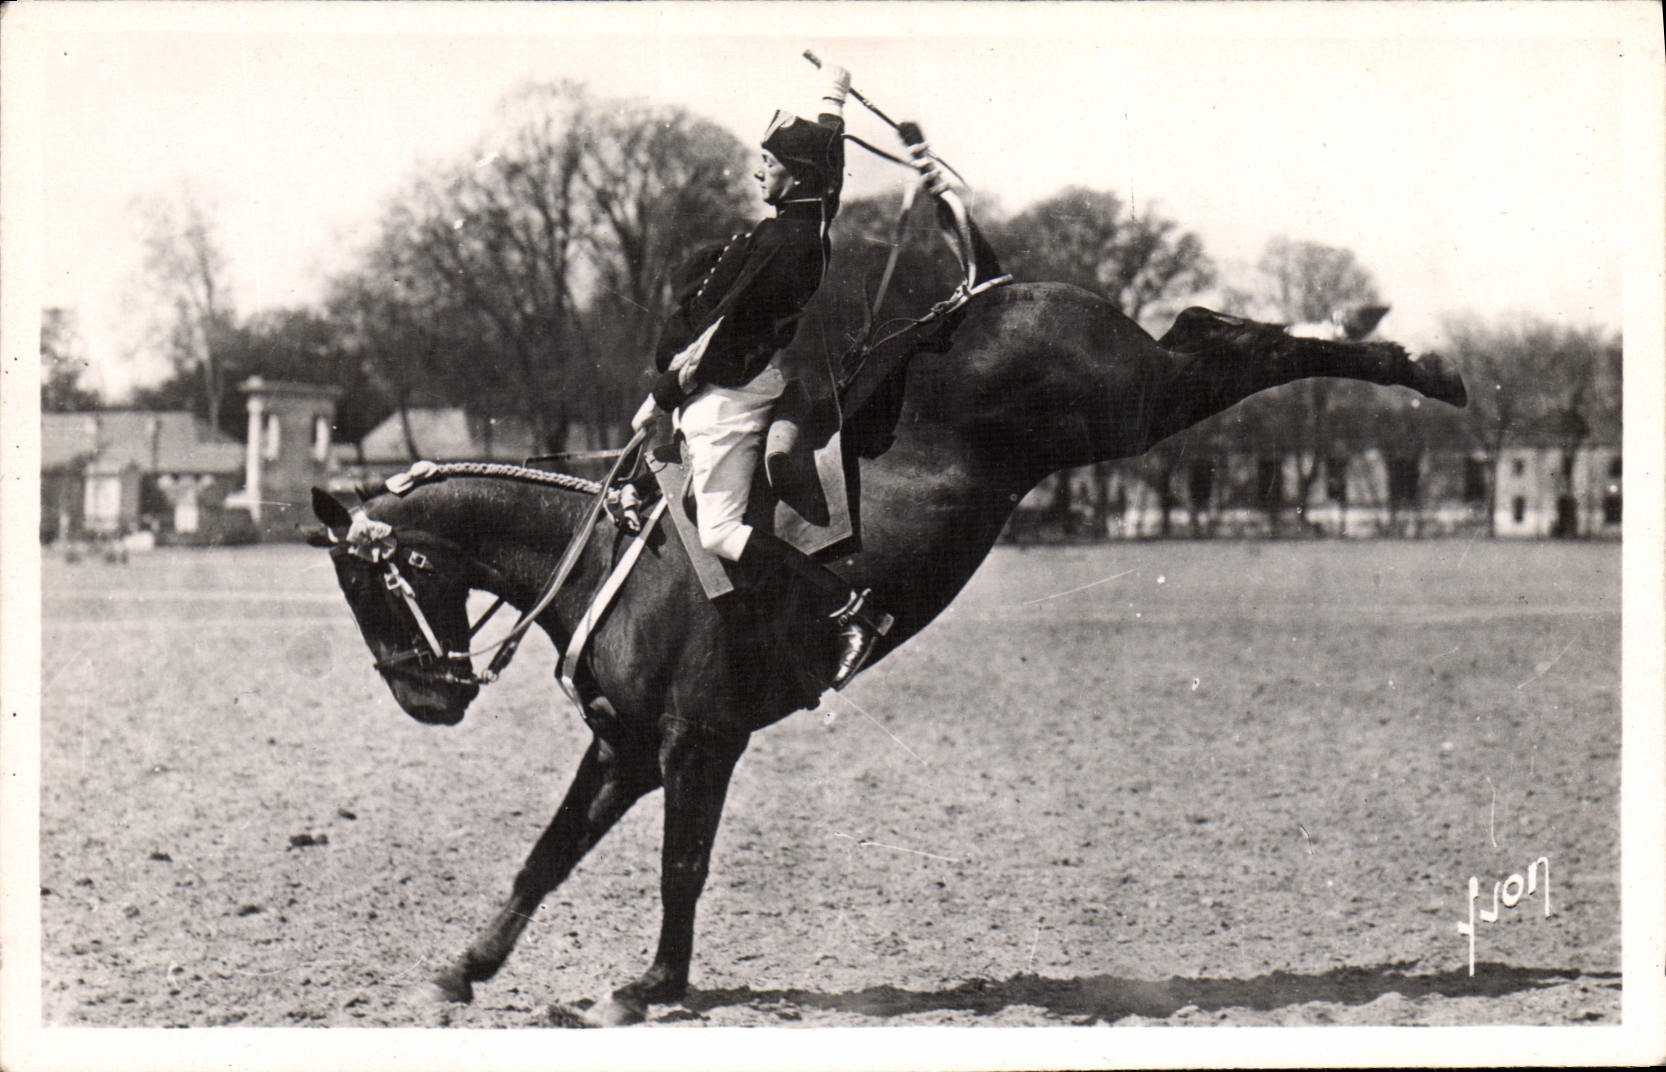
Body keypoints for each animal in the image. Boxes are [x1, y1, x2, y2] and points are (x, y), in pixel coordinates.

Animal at [310, 283, 1467, 1026]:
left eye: (376, 578)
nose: (424, 697)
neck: (613, 556)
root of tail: (990, 294)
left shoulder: (697, 743)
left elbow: (681, 866)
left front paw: (654, 986)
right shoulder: (626, 749)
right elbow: (546, 856)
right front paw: (464, 967)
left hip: (1128, 407)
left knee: (1236, 351)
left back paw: (1415, 364)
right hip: (1132, 403)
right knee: (1206, 330)